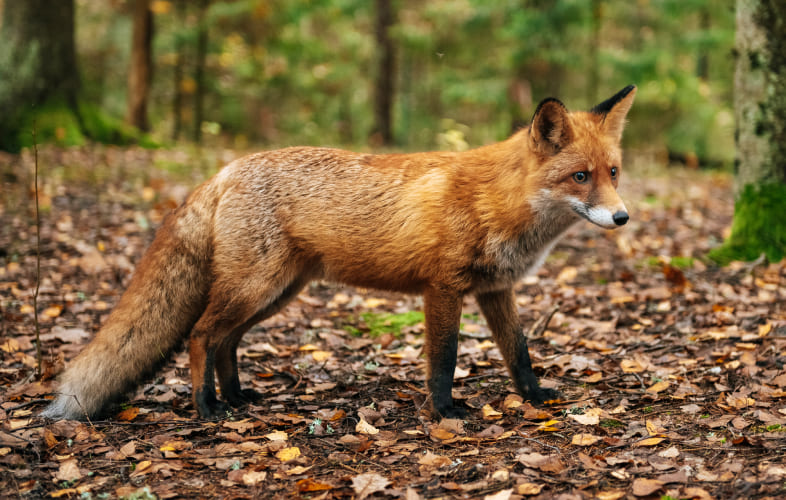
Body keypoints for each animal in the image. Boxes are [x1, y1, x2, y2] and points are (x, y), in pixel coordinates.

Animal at [41, 85, 636, 421]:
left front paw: (534, 400)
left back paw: (236, 399)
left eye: (613, 173)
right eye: (579, 177)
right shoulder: (442, 288)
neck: (498, 203)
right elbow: (443, 359)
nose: (623, 218)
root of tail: (226, 170)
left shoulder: (496, 288)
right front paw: (445, 412)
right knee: (201, 335)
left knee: (226, 341)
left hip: (277, 293)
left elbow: (519, 353)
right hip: (255, 288)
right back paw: (206, 407)